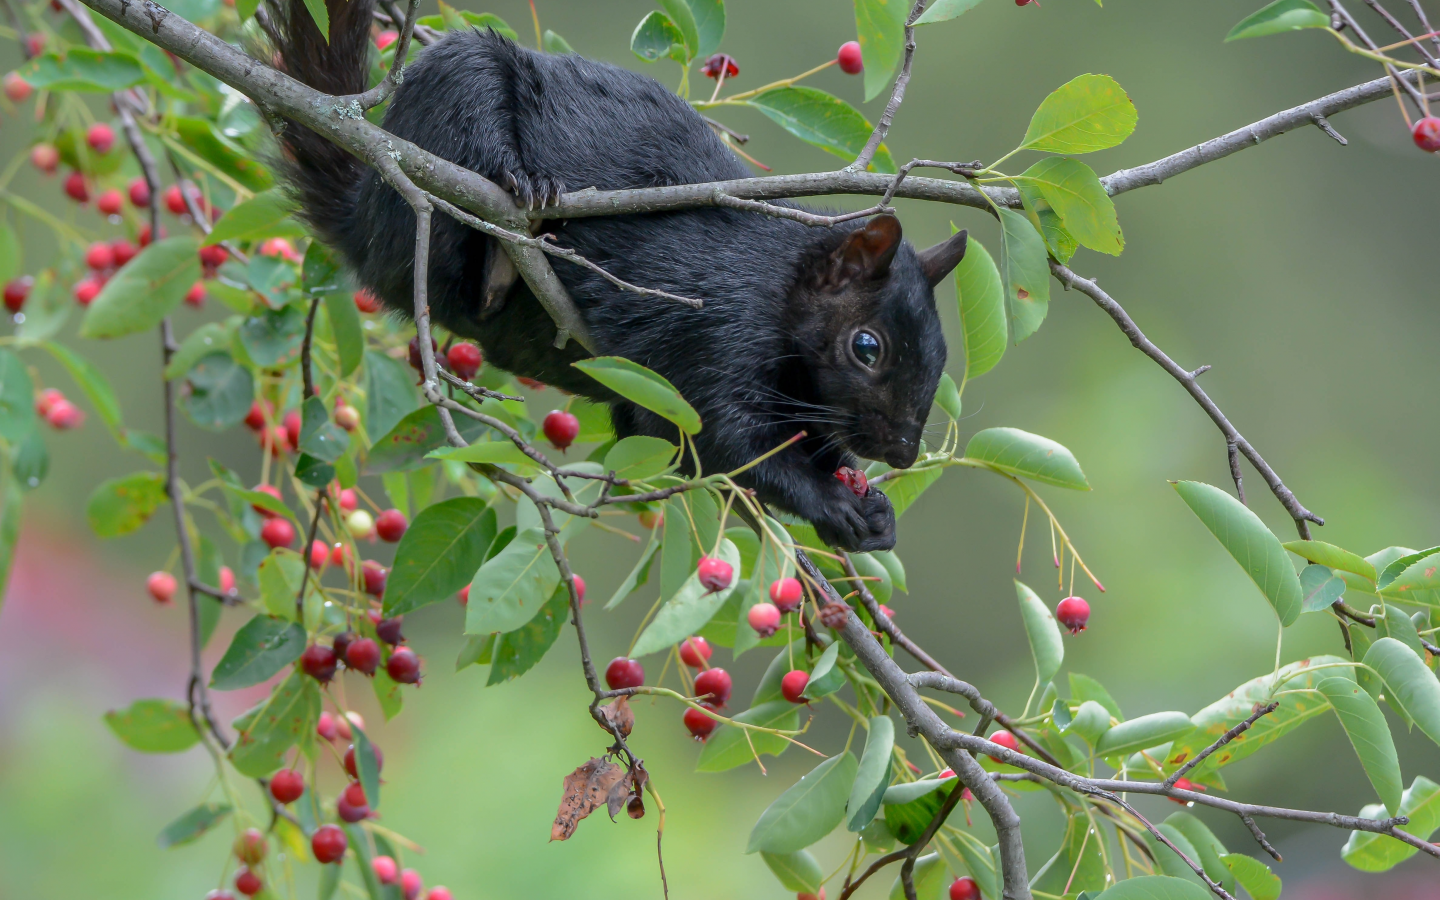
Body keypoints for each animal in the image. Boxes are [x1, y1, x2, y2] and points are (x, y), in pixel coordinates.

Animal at [270, 0, 967, 550]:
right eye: (866, 347)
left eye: (939, 355)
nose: (903, 454)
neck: (778, 284)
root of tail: (361, 217)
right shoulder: (711, 323)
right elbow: (717, 437)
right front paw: (832, 502)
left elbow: (670, 436)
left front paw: (872, 508)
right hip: (452, 104)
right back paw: (512, 214)